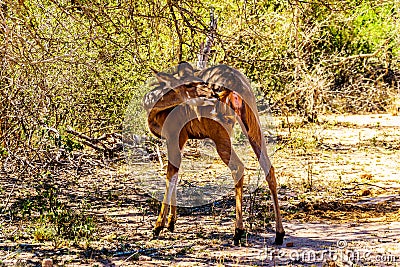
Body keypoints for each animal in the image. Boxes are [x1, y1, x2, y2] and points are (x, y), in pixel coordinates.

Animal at [144, 61, 284, 246]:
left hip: (220, 134)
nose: (212, 93)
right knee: (269, 168)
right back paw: (279, 234)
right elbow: (176, 174)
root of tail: (237, 85)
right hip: (253, 125)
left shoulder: (174, 136)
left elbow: (170, 175)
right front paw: (171, 222)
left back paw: (238, 232)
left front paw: (159, 226)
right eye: (189, 84)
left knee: (238, 167)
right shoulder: (181, 139)